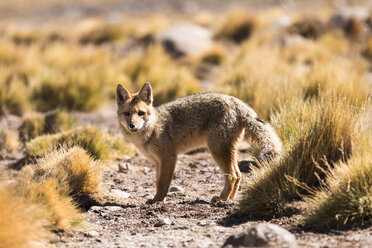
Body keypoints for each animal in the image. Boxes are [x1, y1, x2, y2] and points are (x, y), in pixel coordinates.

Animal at [116, 83, 282, 203]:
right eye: (127, 114)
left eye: (141, 113)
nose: (132, 125)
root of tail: (237, 102)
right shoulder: (157, 162)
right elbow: (157, 182)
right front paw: (156, 198)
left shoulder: (169, 157)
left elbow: (163, 183)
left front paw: (157, 200)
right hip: (226, 150)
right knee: (239, 174)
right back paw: (229, 199)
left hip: (217, 150)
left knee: (232, 176)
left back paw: (221, 199)